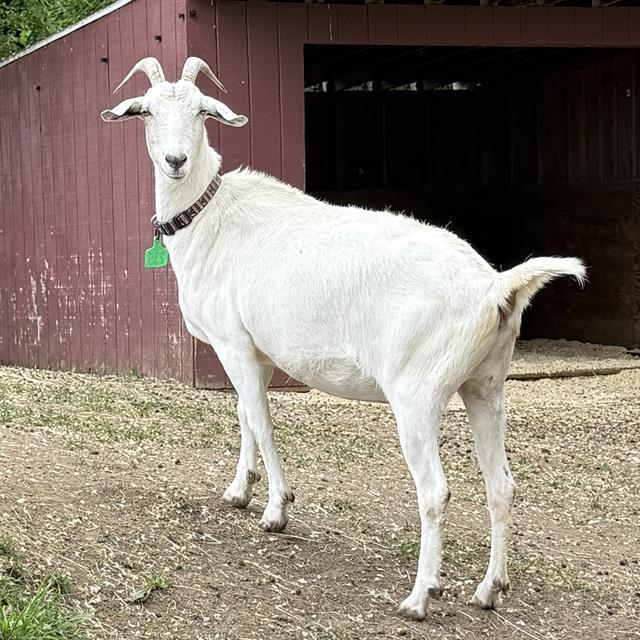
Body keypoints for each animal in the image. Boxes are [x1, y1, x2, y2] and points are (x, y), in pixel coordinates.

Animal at [101, 57, 586, 620]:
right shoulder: (252, 350)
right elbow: (245, 414)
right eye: (146, 111)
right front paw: (239, 491)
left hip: (417, 394)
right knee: (502, 486)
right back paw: (489, 590)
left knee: (435, 491)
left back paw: (419, 597)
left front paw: (276, 510)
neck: (213, 221)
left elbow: (261, 421)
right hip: (486, 386)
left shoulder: (233, 343)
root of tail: (494, 287)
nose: (176, 160)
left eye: (202, 110)